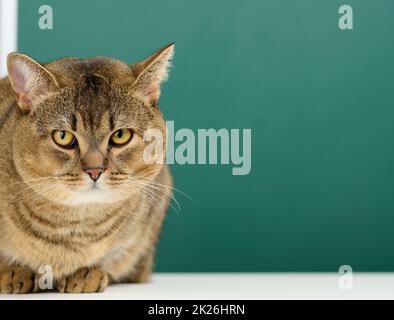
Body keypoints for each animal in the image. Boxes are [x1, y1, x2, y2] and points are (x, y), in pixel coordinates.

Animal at [0, 43, 174, 294]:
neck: (74, 227)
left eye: (120, 135)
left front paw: (86, 272)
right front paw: (11, 270)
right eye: (63, 136)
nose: (94, 170)